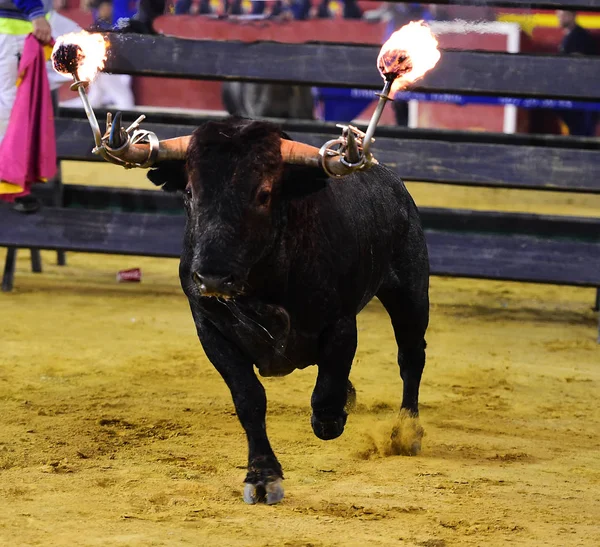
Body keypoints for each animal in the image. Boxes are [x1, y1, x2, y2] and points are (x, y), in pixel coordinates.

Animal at [148, 117, 428, 508]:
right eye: (189, 193)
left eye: (264, 194)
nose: (212, 277)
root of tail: (392, 183)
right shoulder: (210, 329)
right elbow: (249, 399)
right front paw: (263, 476)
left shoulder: (341, 323)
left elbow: (326, 397)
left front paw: (333, 416)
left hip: (410, 293)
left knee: (411, 358)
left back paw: (407, 432)